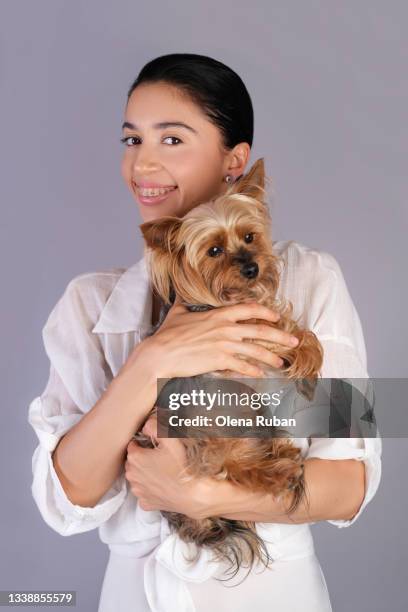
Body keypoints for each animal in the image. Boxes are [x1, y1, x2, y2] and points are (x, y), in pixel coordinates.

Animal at [135, 158, 324, 580]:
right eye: (214, 250)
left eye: (250, 237)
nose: (252, 268)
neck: (235, 298)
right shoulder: (239, 331)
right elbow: (273, 330)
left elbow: (295, 332)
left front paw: (307, 360)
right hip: (211, 435)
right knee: (231, 470)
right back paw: (279, 471)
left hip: (254, 416)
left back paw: (282, 456)